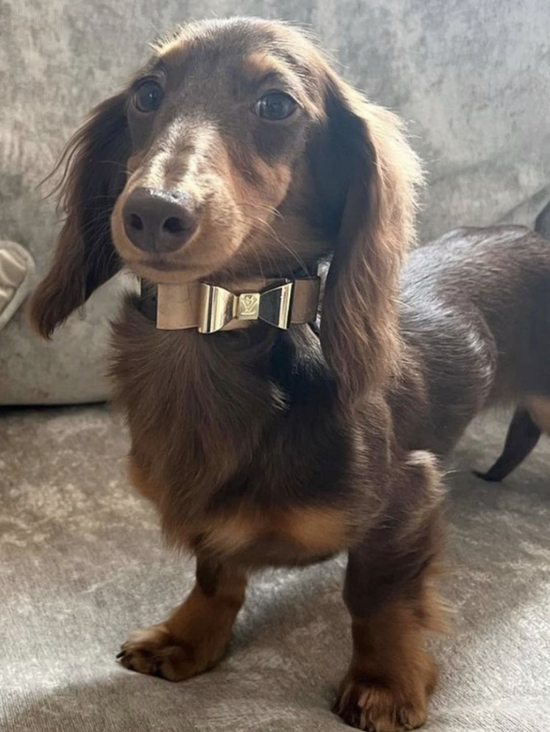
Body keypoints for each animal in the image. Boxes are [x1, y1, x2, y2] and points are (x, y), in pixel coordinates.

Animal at [30, 18, 550, 732]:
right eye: (146, 93)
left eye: (276, 104)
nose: (153, 213)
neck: (216, 330)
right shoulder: (211, 515)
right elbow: (216, 573)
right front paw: (187, 637)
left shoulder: (407, 496)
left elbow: (376, 597)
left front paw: (385, 683)